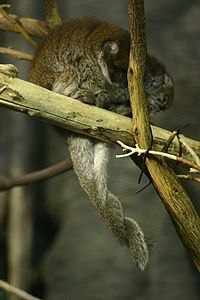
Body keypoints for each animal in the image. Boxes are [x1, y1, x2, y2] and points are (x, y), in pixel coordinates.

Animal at [28, 16, 174, 270]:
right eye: (162, 97)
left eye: (165, 103)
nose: (160, 105)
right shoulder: (114, 59)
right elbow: (106, 60)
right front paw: (119, 95)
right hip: (67, 80)